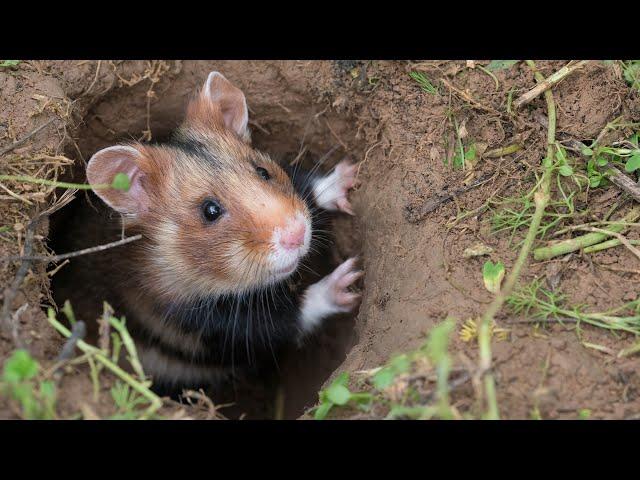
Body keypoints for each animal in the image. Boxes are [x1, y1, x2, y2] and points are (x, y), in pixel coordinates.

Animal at [56, 70, 360, 394]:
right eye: (210, 211)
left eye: (262, 171)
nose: (298, 234)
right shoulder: (203, 325)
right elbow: (282, 321)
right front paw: (348, 282)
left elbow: (304, 182)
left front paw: (346, 176)